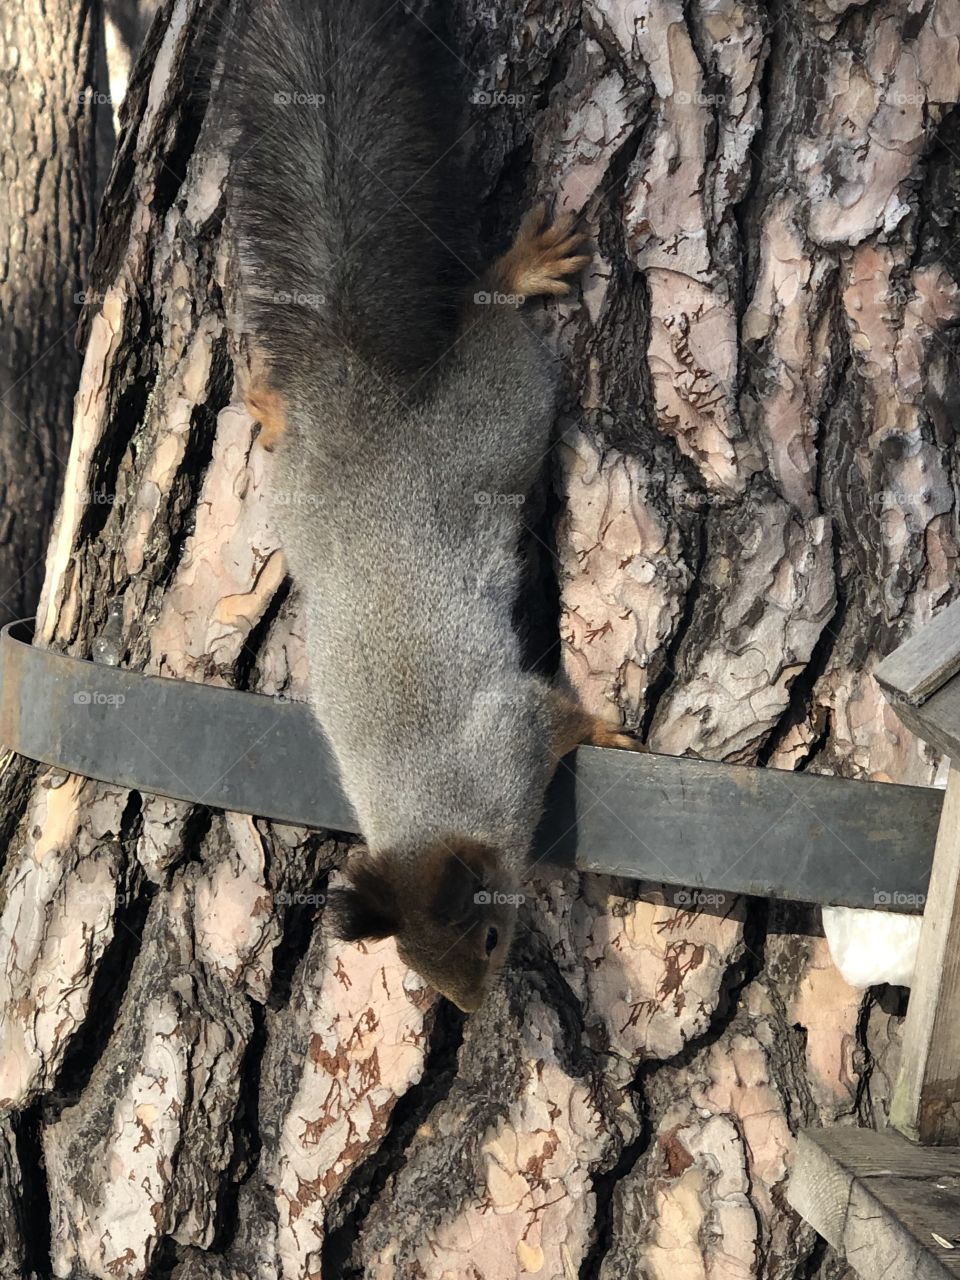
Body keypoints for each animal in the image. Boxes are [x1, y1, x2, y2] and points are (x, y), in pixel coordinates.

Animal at [227, 0, 643, 1012]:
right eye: (418, 966)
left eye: (489, 938)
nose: (476, 1010)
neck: (430, 807)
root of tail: (356, 393)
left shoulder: (512, 739)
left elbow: (555, 713)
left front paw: (604, 724)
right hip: (306, 493)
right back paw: (271, 404)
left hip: (499, 411)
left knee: (490, 320)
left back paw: (518, 269)